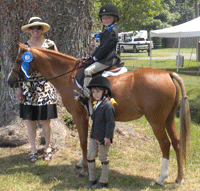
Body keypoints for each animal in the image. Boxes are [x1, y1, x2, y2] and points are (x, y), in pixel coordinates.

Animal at [7, 43, 191, 185]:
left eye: (19, 60)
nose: (10, 81)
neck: (68, 76)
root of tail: (168, 74)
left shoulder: (79, 116)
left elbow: (82, 142)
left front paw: (84, 169)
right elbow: (90, 141)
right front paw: (84, 162)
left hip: (156, 122)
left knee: (165, 144)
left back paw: (161, 178)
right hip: (168, 120)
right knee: (177, 142)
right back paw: (179, 177)